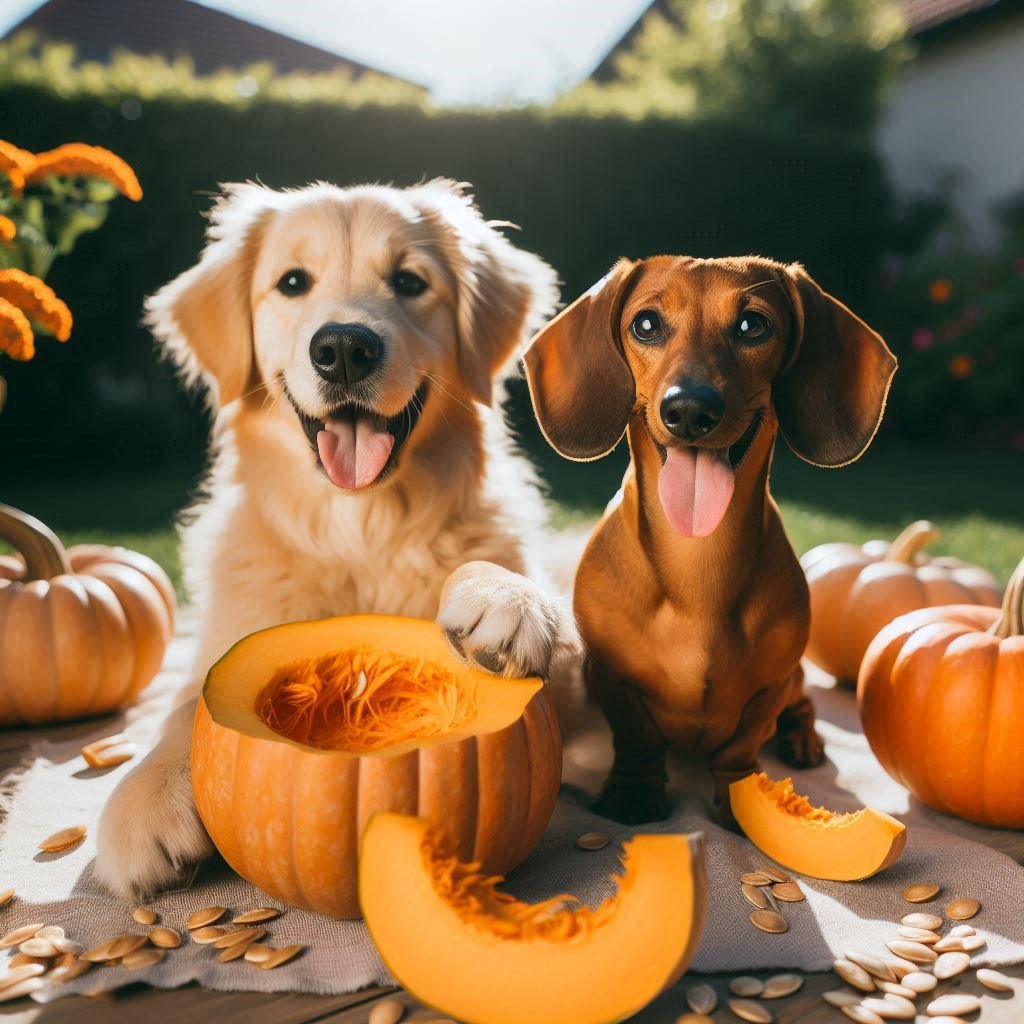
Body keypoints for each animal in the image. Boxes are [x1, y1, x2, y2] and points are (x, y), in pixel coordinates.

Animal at [98, 180, 581, 901]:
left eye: (410, 281)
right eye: (293, 282)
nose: (345, 349)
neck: (361, 533)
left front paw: (507, 601)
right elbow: (190, 707)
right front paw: (146, 798)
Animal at [528, 256, 897, 823]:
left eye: (753, 325)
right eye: (646, 324)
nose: (688, 410)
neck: (696, 557)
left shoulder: (771, 684)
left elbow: (741, 746)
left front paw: (742, 804)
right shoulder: (612, 677)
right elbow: (636, 738)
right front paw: (634, 795)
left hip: (795, 679)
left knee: (804, 707)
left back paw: (803, 741)